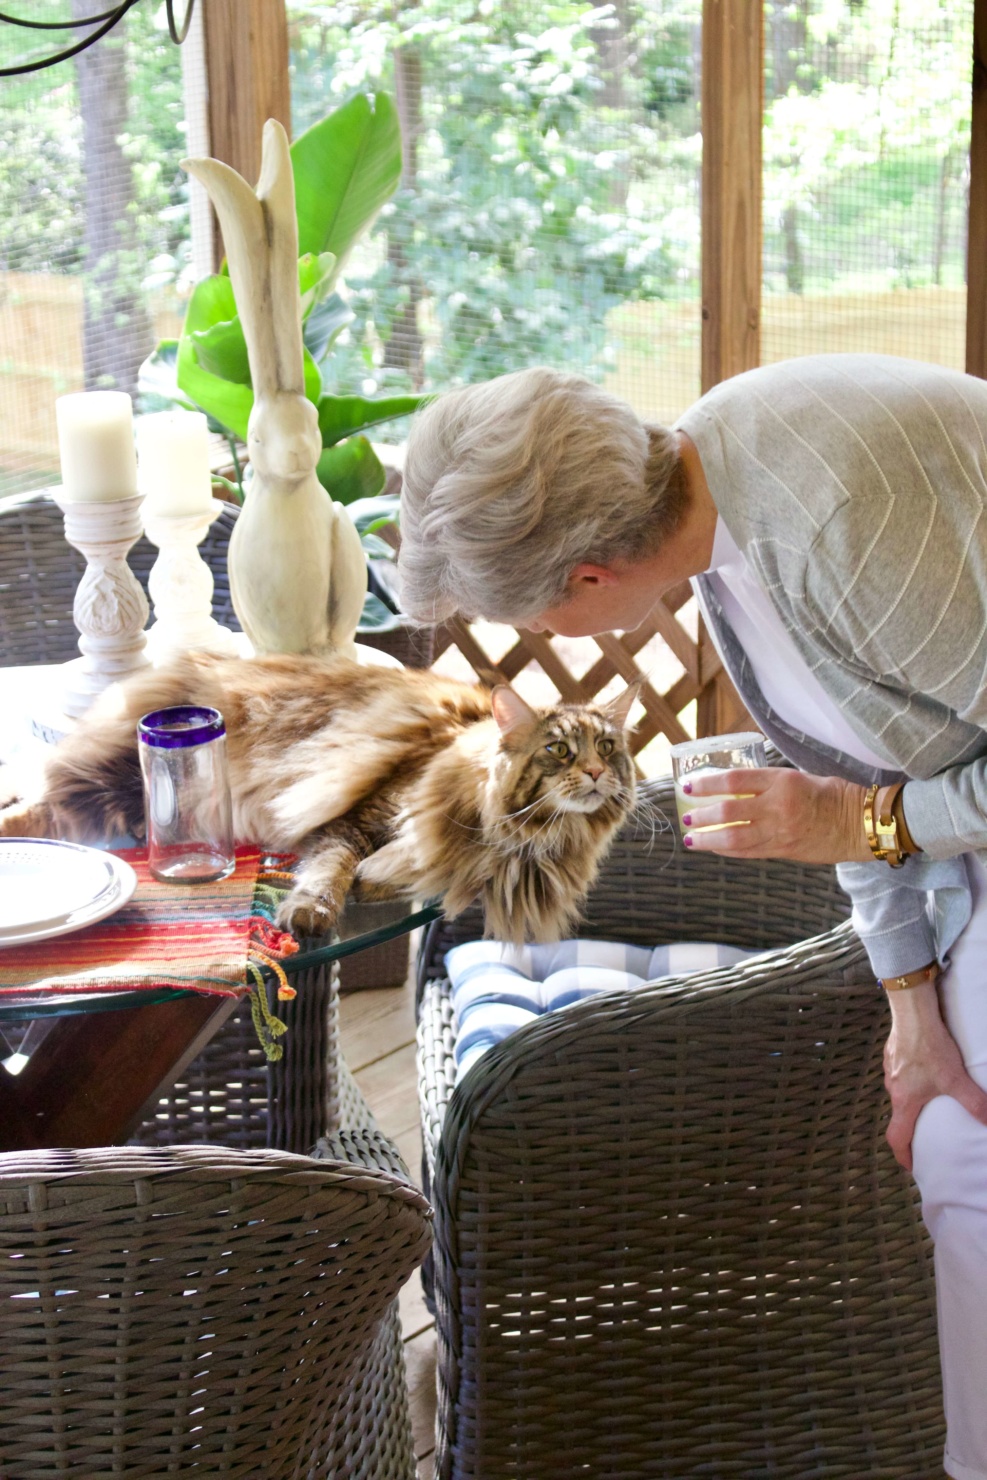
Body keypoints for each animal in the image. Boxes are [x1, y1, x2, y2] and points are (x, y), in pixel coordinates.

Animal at [1, 657, 642, 941]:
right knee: (38, 806)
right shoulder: (354, 821)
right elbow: (332, 868)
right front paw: (312, 909)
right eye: (558, 750)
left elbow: (393, 872)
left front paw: (378, 880)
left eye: (607, 747)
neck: (527, 836)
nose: (594, 771)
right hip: (118, 782)